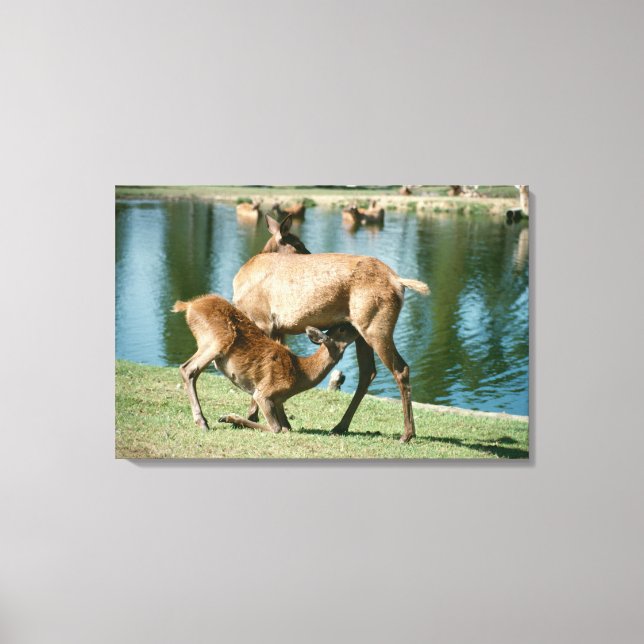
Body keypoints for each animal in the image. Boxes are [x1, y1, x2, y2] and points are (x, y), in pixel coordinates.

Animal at [172, 294, 358, 433]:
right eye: (342, 328)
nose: (357, 327)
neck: (300, 374)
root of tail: (189, 306)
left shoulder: (279, 400)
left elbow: (287, 427)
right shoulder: (264, 392)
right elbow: (277, 428)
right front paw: (229, 418)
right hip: (216, 340)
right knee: (188, 369)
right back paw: (202, 422)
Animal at [233, 213, 430, 443]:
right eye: (298, 244)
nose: (310, 253)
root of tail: (399, 282)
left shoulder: (264, 321)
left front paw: (252, 416)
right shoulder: (279, 328)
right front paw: (280, 421)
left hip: (376, 326)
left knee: (400, 369)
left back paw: (406, 434)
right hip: (361, 330)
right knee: (368, 372)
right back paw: (340, 426)